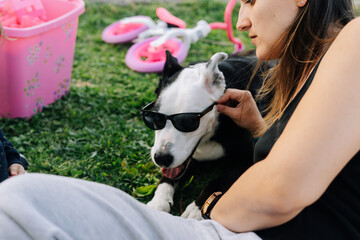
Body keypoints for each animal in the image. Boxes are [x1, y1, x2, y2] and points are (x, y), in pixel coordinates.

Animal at [142, 50, 266, 219]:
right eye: (154, 118)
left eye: (188, 121)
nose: (162, 158)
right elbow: (169, 175)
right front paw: (159, 200)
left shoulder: (247, 160)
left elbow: (218, 180)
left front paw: (197, 208)